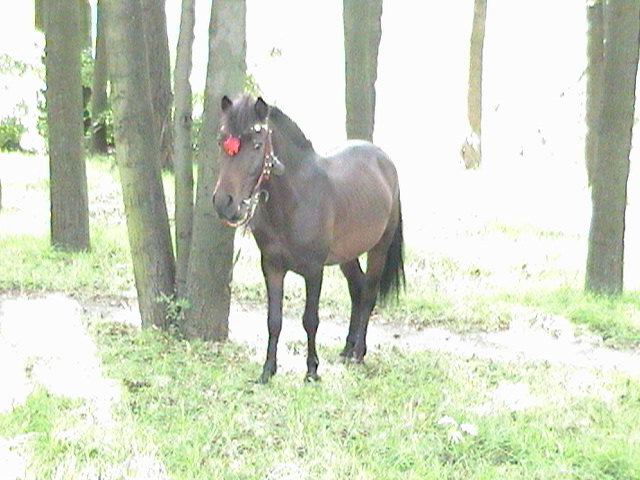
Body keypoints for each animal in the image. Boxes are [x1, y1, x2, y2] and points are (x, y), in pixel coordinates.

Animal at [215, 95, 404, 384]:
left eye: (257, 145)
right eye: (221, 139)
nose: (223, 202)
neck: (295, 198)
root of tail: (385, 160)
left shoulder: (314, 271)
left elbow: (310, 320)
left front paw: (312, 370)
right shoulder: (272, 267)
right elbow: (274, 320)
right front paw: (267, 370)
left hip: (378, 248)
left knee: (369, 293)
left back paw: (358, 352)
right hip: (347, 255)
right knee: (357, 289)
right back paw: (347, 349)